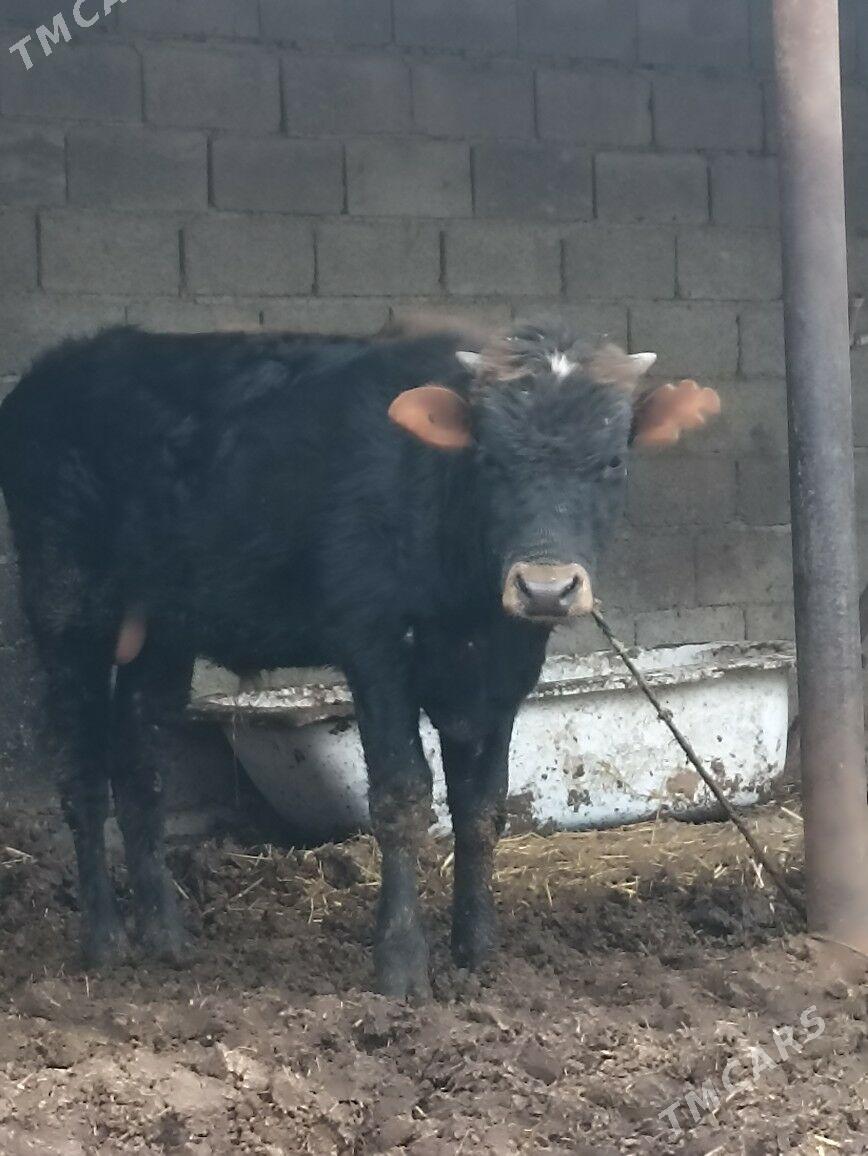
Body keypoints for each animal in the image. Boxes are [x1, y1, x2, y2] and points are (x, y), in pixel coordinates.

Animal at [0, 322, 719, 1000]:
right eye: (487, 459)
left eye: (613, 461)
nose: (545, 588)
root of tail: (58, 368)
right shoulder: (374, 645)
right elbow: (401, 796)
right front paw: (402, 967)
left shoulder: (500, 673)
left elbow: (482, 807)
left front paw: (478, 954)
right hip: (66, 604)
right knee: (81, 769)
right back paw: (104, 940)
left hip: (164, 626)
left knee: (141, 758)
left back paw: (165, 937)